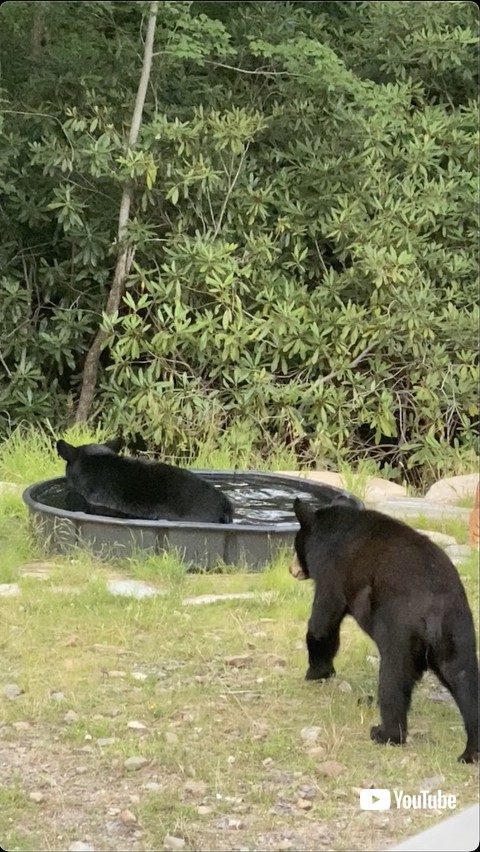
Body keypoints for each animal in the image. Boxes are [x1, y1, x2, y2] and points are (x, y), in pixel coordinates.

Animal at [290, 495, 479, 763]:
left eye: (295, 546)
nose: (292, 569)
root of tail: (436, 608)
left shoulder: (331, 574)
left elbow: (322, 624)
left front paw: (316, 673)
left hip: (400, 633)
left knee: (393, 682)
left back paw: (384, 733)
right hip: (458, 632)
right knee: (465, 679)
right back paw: (470, 752)